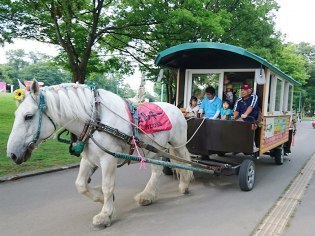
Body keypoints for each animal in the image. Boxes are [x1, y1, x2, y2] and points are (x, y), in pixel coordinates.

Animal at [7, 80, 194, 228]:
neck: (95, 120)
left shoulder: (108, 159)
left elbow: (107, 186)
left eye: (28, 116)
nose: (12, 154)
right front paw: (101, 198)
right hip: (155, 149)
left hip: (177, 143)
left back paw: (184, 184)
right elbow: (81, 185)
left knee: (184, 161)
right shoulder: (89, 159)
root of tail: (176, 108)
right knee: (157, 170)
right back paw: (148, 195)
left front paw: (105, 214)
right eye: (16, 115)